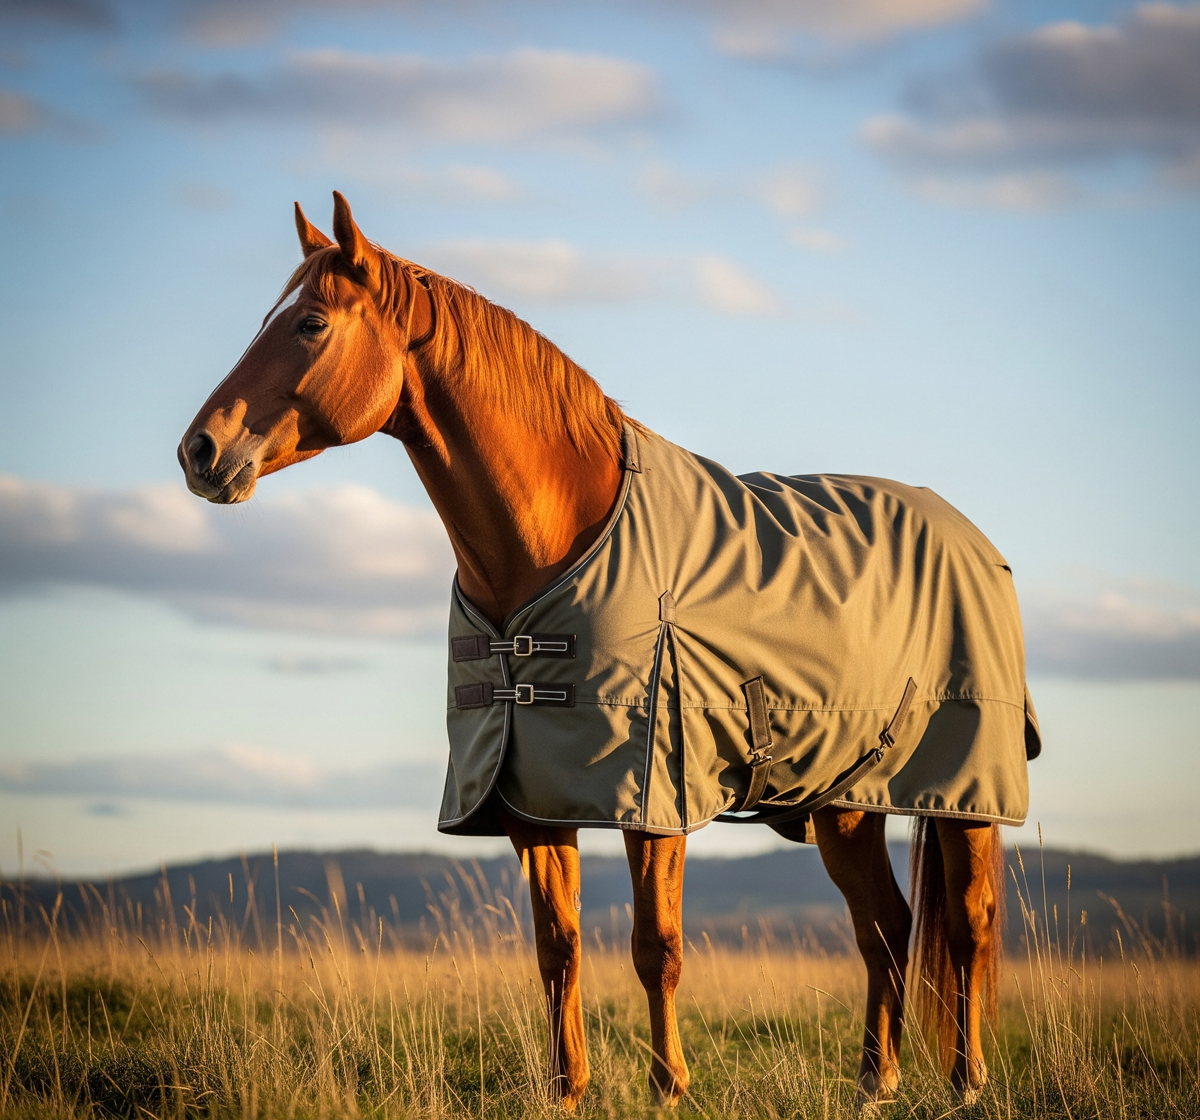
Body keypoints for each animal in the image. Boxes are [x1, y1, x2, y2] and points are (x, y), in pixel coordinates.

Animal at [179, 192, 1033, 1109]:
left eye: (309, 323)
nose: (199, 451)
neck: (552, 544)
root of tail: (977, 541)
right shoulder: (532, 803)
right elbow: (558, 949)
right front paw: (567, 1091)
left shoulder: (653, 797)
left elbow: (656, 948)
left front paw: (667, 1089)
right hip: (846, 798)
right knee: (885, 926)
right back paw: (875, 1084)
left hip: (966, 797)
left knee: (966, 926)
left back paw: (966, 1082)